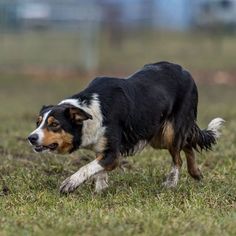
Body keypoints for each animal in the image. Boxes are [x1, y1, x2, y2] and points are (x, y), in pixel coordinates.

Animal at [28, 61, 225, 194]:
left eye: (54, 124)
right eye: (38, 122)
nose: (31, 138)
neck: (90, 110)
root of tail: (186, 72)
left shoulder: (113, 154)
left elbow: (87, 168)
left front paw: (70, 183)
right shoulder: (102, 148)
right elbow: (97, 170)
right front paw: (100, 190)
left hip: (170, 131)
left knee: (178, 158)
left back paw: (171, 184)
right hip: (157, 135)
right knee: (188, 145)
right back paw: (196, 173)